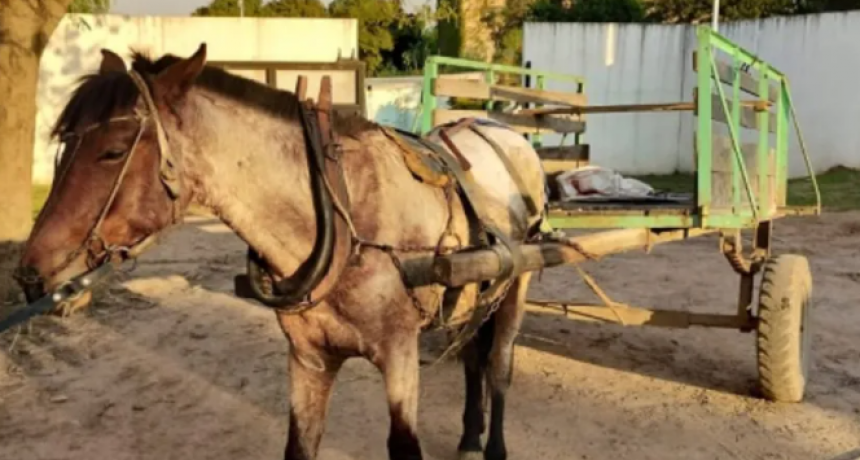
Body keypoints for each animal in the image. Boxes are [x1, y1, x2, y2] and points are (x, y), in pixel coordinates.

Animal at [13, 44, 548, 460]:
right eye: (62, 146)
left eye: (115, 150)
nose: (31, 276)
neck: (342, 216)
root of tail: (503, 130)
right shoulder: (308, 359)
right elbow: (299, 445)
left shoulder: (399, 353)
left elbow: (405, 444)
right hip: (477, 294)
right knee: (474, 358)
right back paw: (470, 436)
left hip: (516, 285)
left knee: (497, 366)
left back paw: (493, 445)